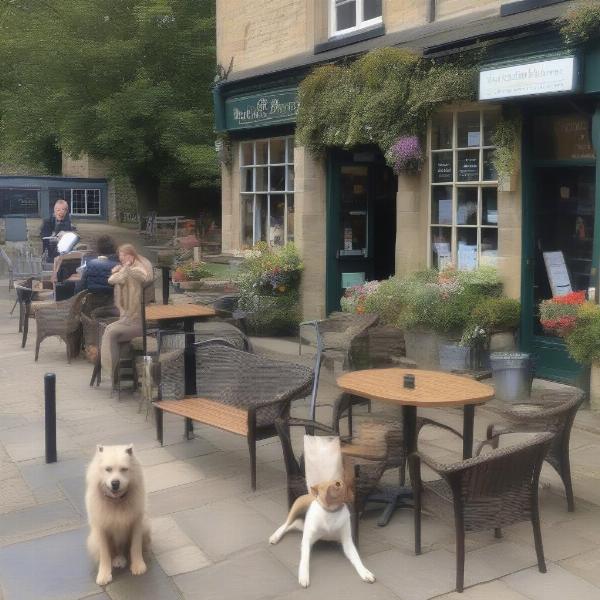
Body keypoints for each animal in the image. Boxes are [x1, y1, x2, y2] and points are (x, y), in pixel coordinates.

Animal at [84, 442, 150, 584]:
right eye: (108, 469)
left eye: (124, 469)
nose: (115, 483)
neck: (116, 502)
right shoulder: (101, 528)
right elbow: (105, 553)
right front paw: (104, 575)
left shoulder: (137, 523)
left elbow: (135, 546)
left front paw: (138, 566)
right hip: (93, 539)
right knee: (115, 553)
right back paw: (118, 560)